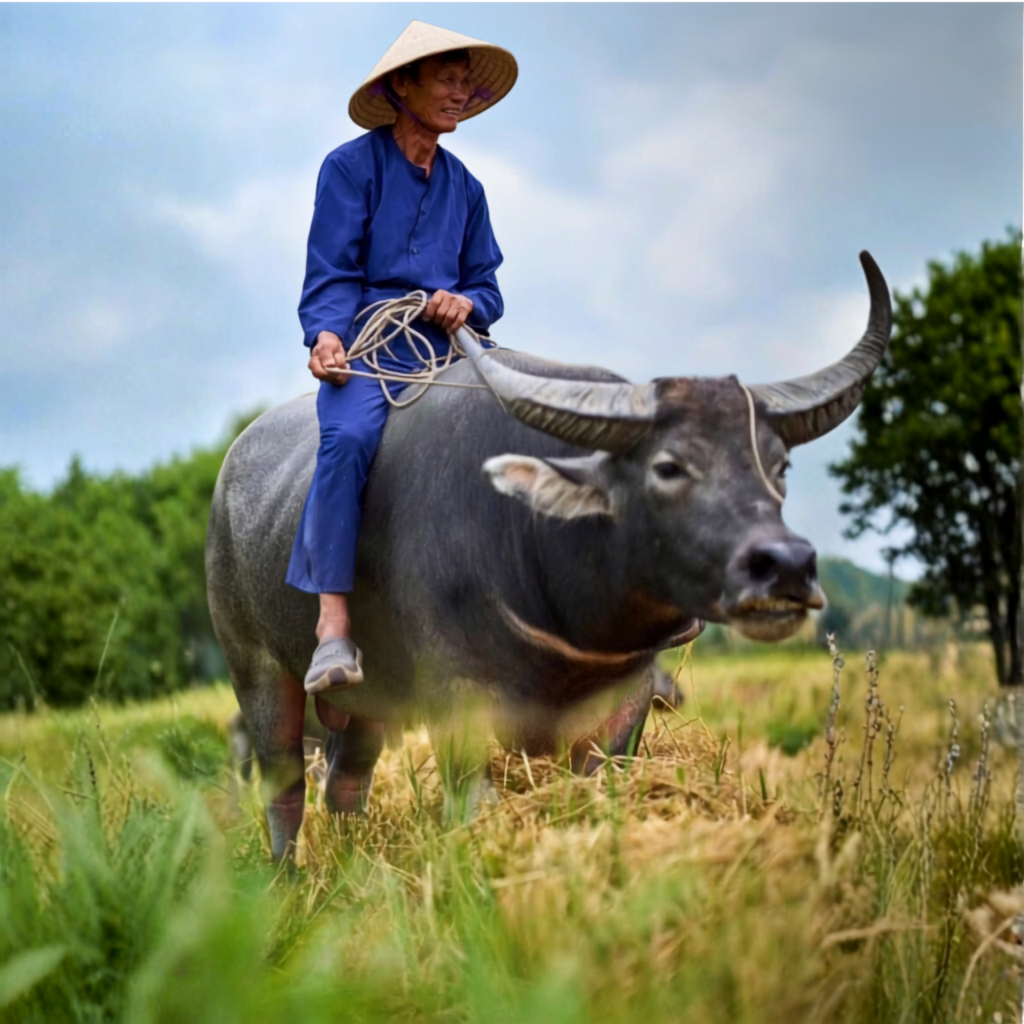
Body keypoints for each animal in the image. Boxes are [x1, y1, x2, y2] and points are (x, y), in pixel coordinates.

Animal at [206, 251, 891, 858]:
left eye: (779, 467)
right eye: (668, 466)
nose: (788, 567)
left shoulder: (625, 702)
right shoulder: (456, 699)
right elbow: (474, 804)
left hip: (369, 703)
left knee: (346, 783)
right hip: (257, 671)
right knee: (284, 789)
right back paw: (289, 880)